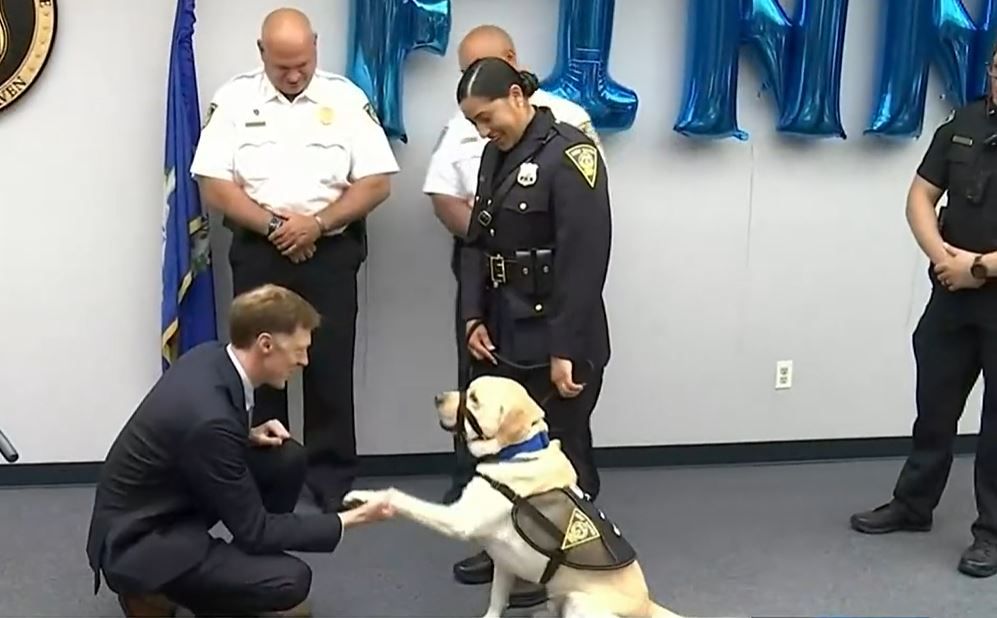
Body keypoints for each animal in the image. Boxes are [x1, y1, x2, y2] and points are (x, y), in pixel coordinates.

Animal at [344, 376, 684, 616]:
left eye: (475, 398)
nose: (436, 397)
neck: (517, 453)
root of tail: (648, 607)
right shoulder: (503, 560)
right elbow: (497, 602)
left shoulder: (459, 520)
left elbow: (397, 496)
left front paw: (365, 497)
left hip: (579, 603)